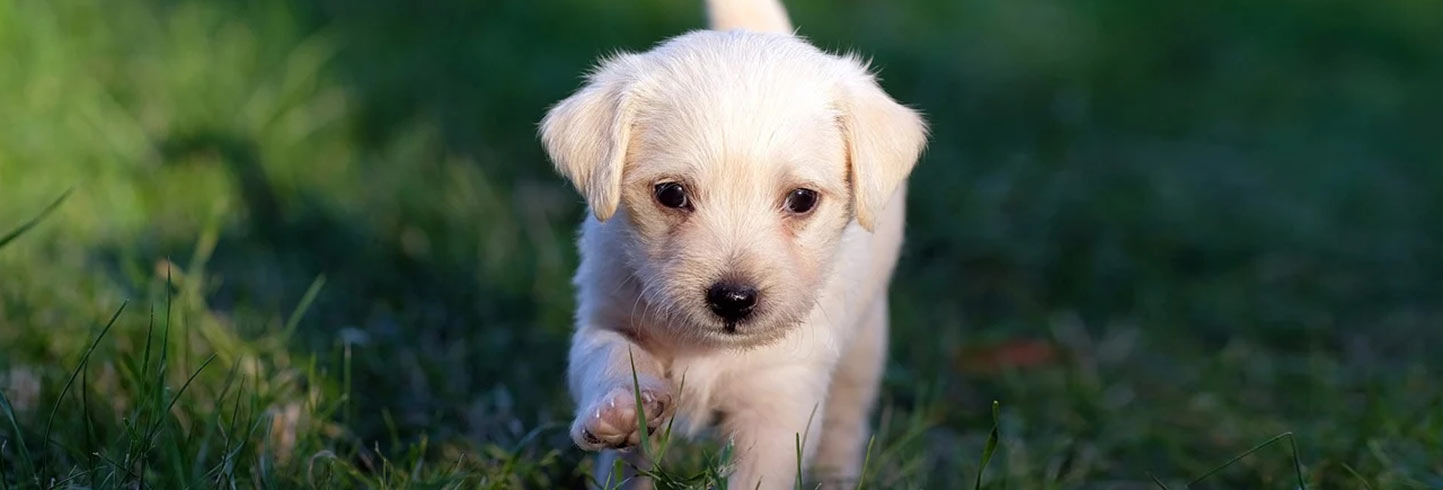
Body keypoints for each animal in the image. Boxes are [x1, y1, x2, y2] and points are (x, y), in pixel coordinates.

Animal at [539, 1, 923, 487]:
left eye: (802, 199)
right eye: (671, 194)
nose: (733, 299)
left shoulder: (779, 402)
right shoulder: (605, 316)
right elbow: (610, 356)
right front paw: (622, 408)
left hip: (865, 346)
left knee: (846, 422)